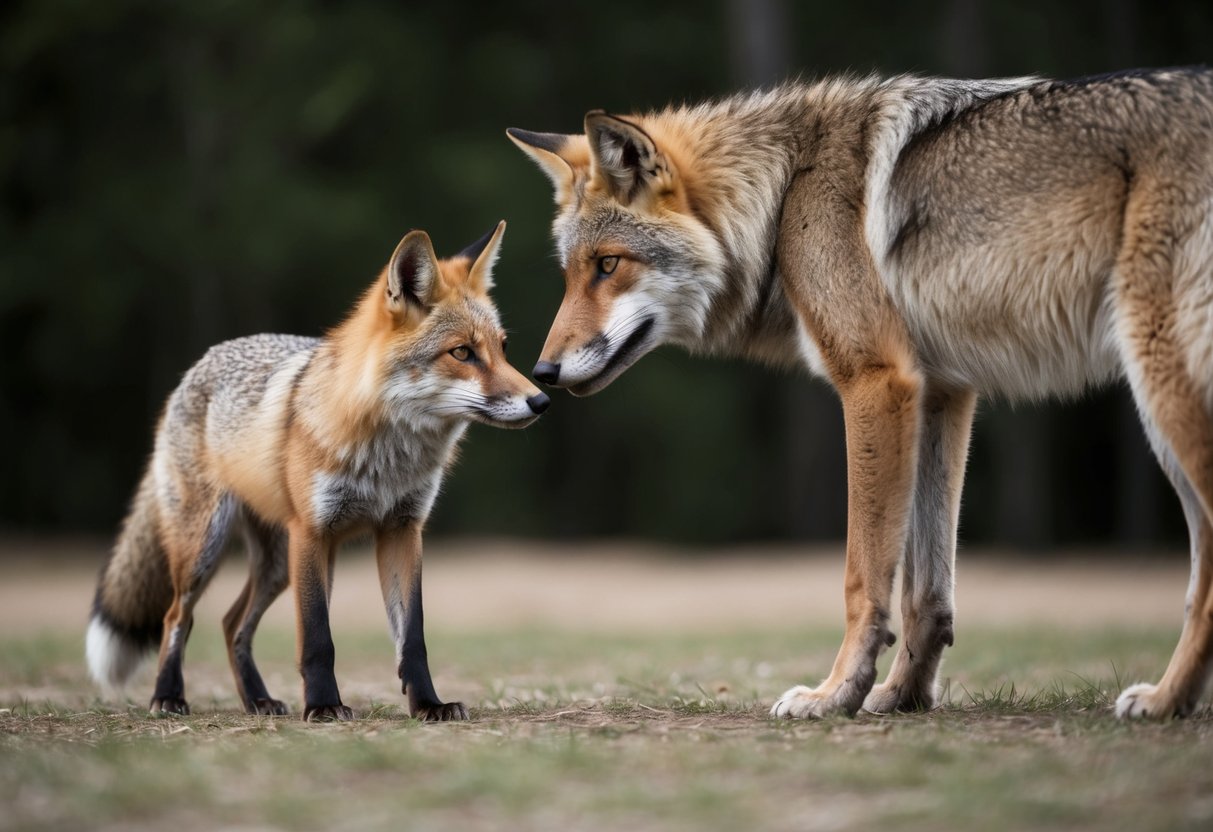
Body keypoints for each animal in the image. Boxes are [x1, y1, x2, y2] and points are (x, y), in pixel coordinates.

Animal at [86, 222, 549, 721]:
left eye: (503, 348)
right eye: (462, 353)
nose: (541, 401)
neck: (387, 458)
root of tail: (197, 366)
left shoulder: (402, 530)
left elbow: (413, 639)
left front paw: (428, 704)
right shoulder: (312, 531)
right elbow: (317, 639)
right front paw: (325, 706)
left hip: (276, 566)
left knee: (231, 623)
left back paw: (257, 700)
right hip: (208, 549)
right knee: (177, 616)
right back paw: (168, 695)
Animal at [508, 67, 1213, 721]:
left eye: (608, 265)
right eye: (570, 273)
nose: (542, 374)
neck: (784, 195)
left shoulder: (877, 382)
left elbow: (861, 576)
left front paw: (834, 694)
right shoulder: (943, 393)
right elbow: (926, 594)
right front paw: (902, 697)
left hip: (1161, 390)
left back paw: (1163, 699)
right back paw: (1172, 700)